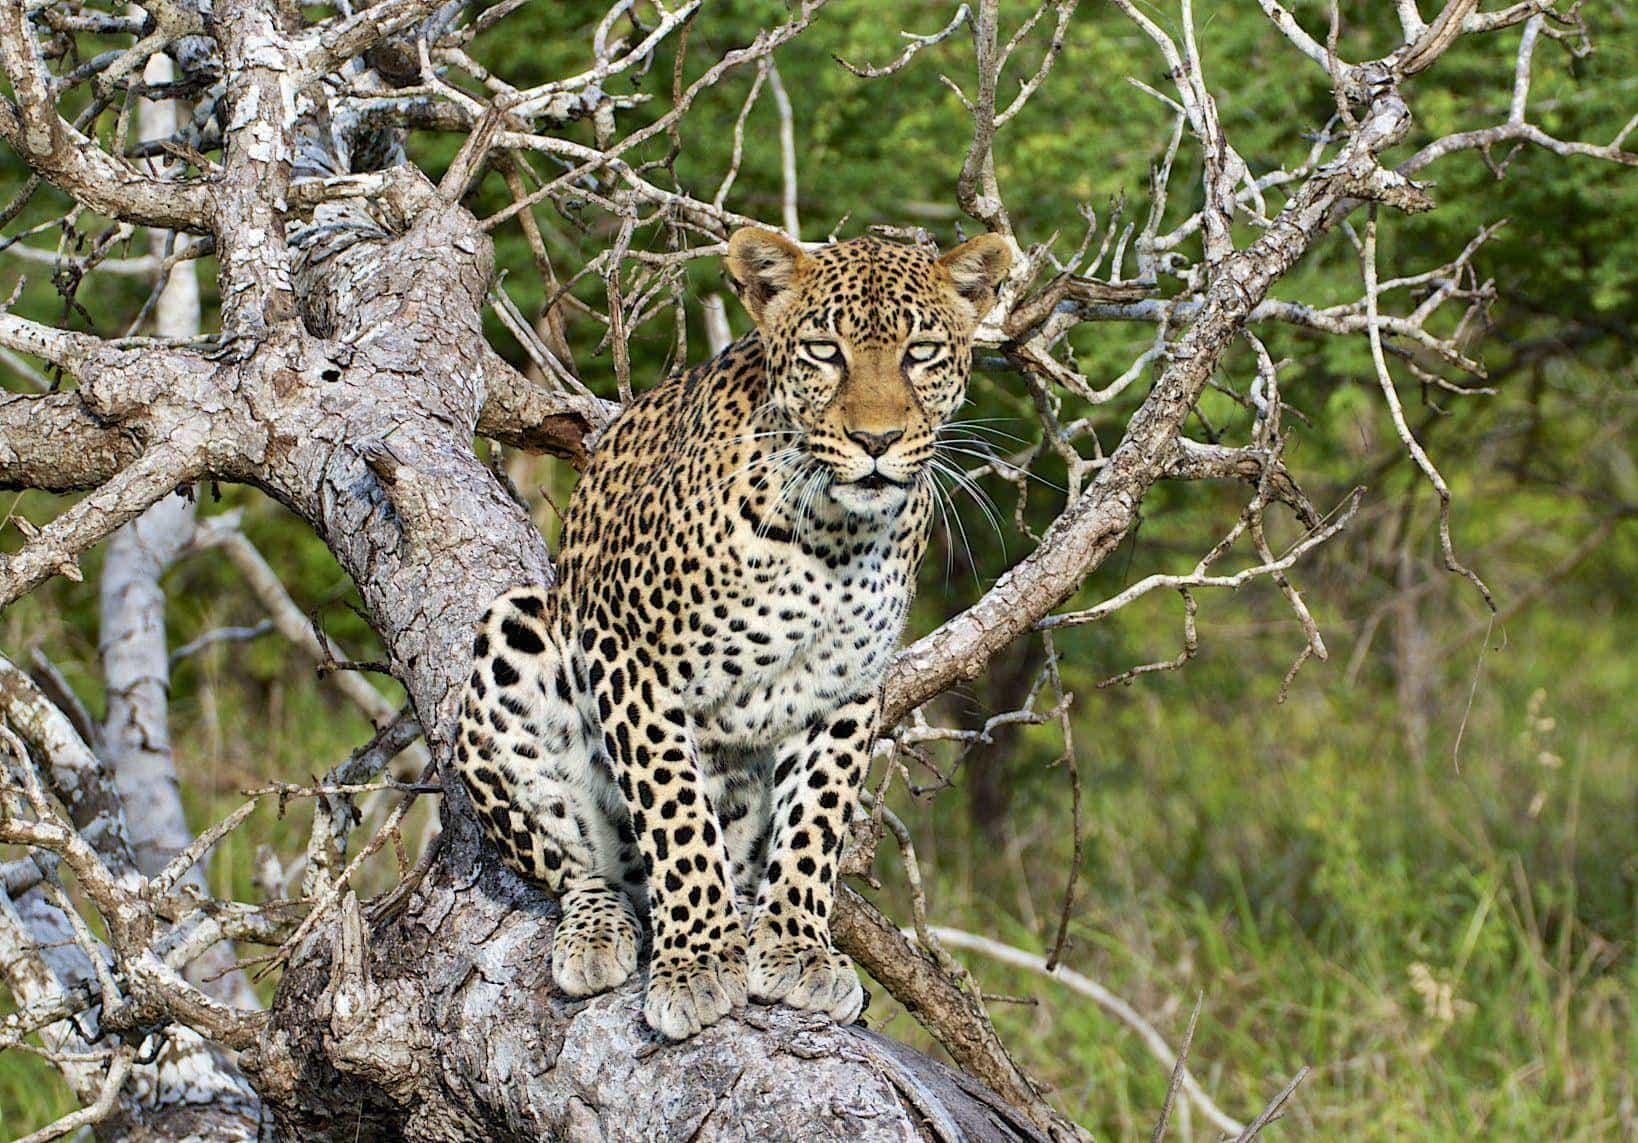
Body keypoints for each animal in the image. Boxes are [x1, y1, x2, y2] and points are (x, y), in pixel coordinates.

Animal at [452, 224, 1009, 1041]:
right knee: (576, 864)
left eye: (922, 352)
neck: (835, 535)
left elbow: (815, 821)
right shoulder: (632, 656)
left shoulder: (844, 688)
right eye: (825, 351)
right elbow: (677, 813)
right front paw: (698, 963)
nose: (876, 439)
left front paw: (795, 945)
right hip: (516, 631)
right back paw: (600, 931)